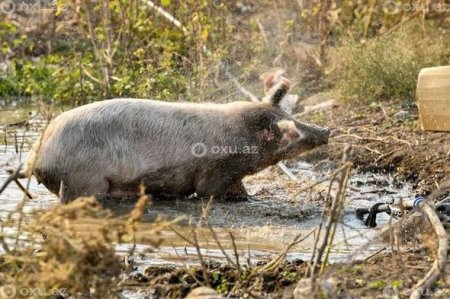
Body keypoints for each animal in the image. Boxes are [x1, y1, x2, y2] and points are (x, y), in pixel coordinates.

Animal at [17, 78, 328, 204]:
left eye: (289, 114)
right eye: (292, 130)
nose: (326, 131)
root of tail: (34, 157)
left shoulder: (234, 173)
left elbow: (240, 188)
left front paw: (250, 198)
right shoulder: (215, 169)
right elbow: (208, 191)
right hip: (82, 179)